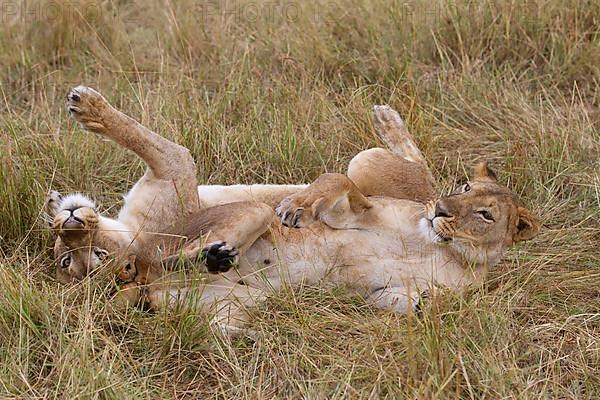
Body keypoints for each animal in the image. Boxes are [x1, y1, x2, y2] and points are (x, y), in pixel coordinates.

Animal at [44, 85, 536, 332]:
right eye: (66, 259)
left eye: (485, 215)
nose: (443, 211)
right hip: (370, 165)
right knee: (414, 168)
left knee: (418, 167)